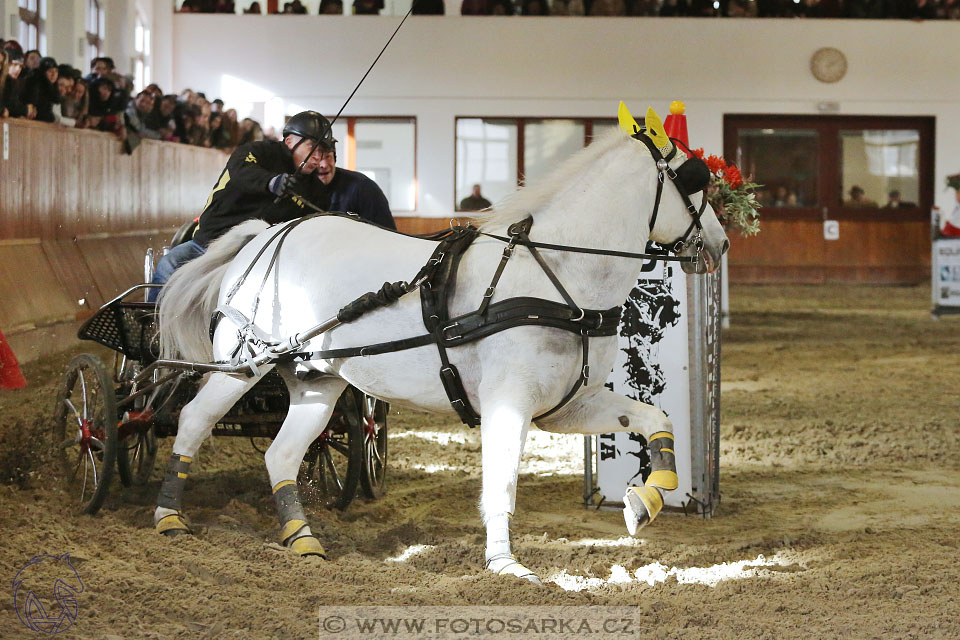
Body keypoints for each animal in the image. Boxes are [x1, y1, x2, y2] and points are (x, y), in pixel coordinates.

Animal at [156, 105, 728, 584]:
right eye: (696, 178)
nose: (721, 244)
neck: (556, 276)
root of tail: (268, 233)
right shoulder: (509, 404)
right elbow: (501, 483)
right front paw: (505, 564)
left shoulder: (566, 406)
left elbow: (656, 420)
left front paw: (644, 501)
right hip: (242, 364)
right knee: (193, 421)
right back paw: (168, 518)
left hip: (315, 379)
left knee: (281, 455)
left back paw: (302, 540)